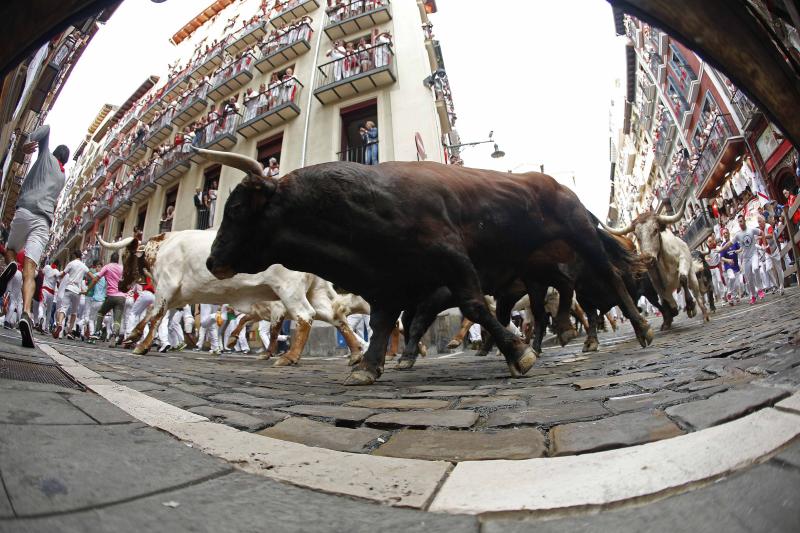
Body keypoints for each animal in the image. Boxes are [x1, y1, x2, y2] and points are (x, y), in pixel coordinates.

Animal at [203, 156, 652, 384]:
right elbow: (385, 324)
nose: (210, 260)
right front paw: (369, 367)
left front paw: (518, 354)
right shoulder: (387, 283)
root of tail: (557, 185)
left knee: (609, 280)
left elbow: (472, 307)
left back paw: (639, 329)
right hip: (537, 274)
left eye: (237, 208)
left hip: (581, 239)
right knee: (553, 305)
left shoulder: (449, 259)